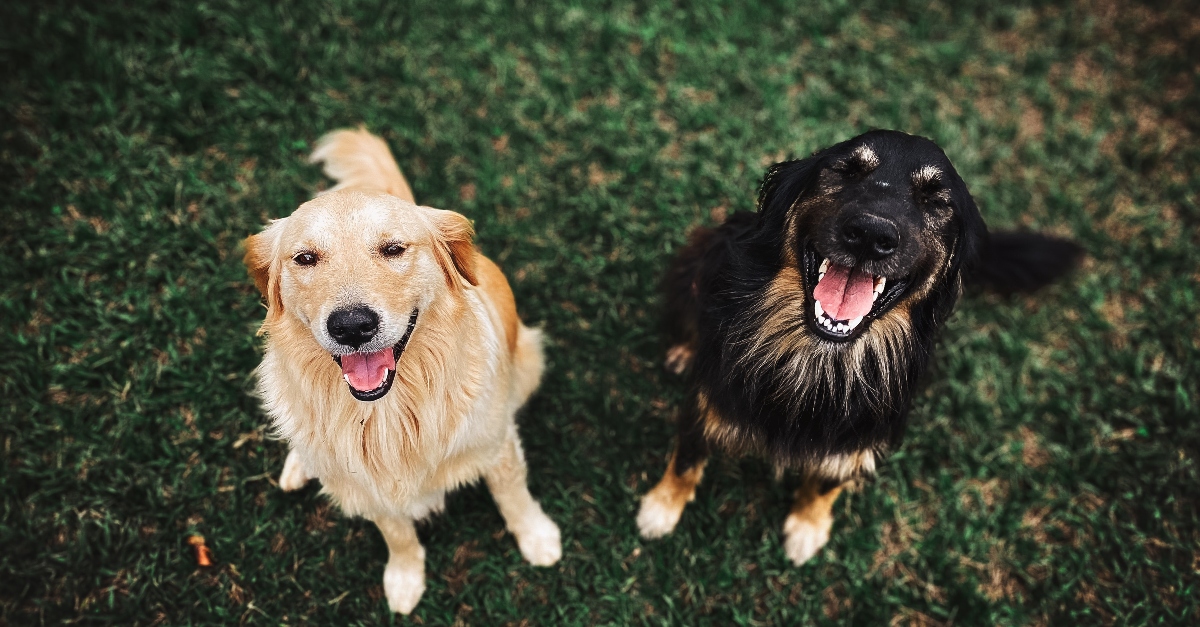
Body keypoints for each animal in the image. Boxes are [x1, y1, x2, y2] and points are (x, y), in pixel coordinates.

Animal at [246, 125, 564, 610]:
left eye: (393, 249)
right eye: (304, 258)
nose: (351, 326)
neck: (387, 414)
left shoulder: (497, 445)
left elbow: (513, 496)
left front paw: (537, 538)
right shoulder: (371, 490)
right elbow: (397, 534)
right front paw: (404, 578)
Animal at [638, 129, 1080, 564]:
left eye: (935, 200)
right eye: (847, 171)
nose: (871, 235)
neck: (819, 356)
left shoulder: (859, 435)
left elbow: (826, 481)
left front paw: (807, 527)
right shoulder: (707, 397)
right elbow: (687, 458)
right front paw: (661, 508)